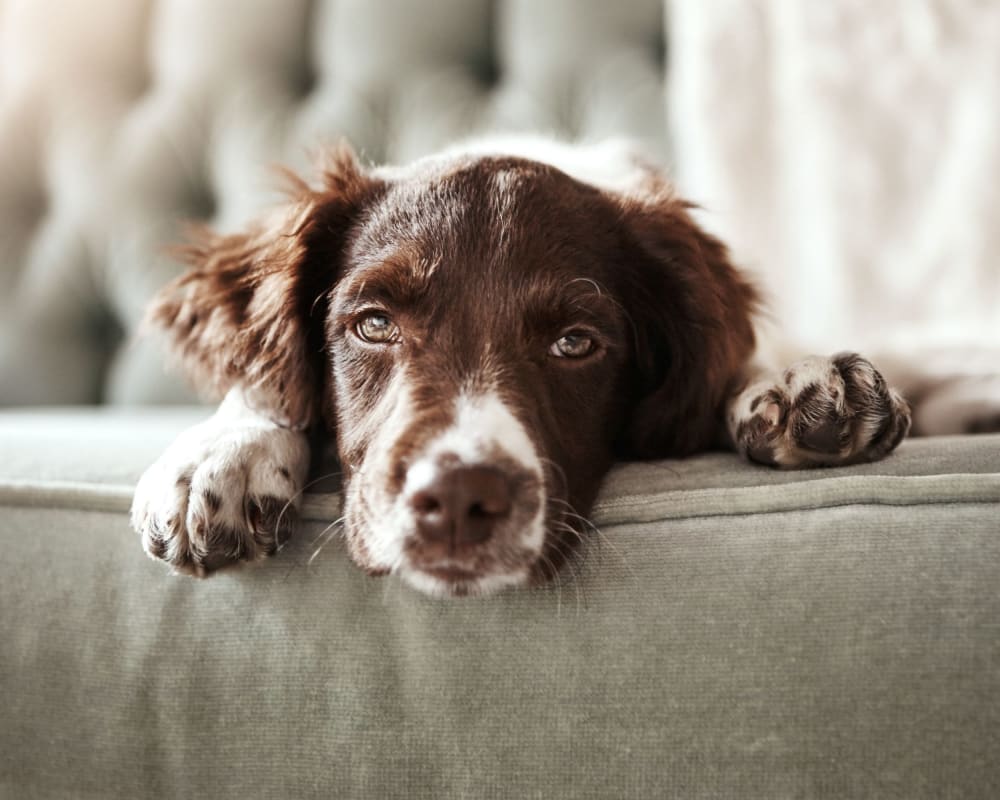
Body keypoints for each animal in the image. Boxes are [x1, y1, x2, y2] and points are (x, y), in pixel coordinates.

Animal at [131, 141, 916, 596]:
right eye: (374, 324)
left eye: (576, 342)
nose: (457, 498)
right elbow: (262, 381)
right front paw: (220, 456)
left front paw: (797, 384)